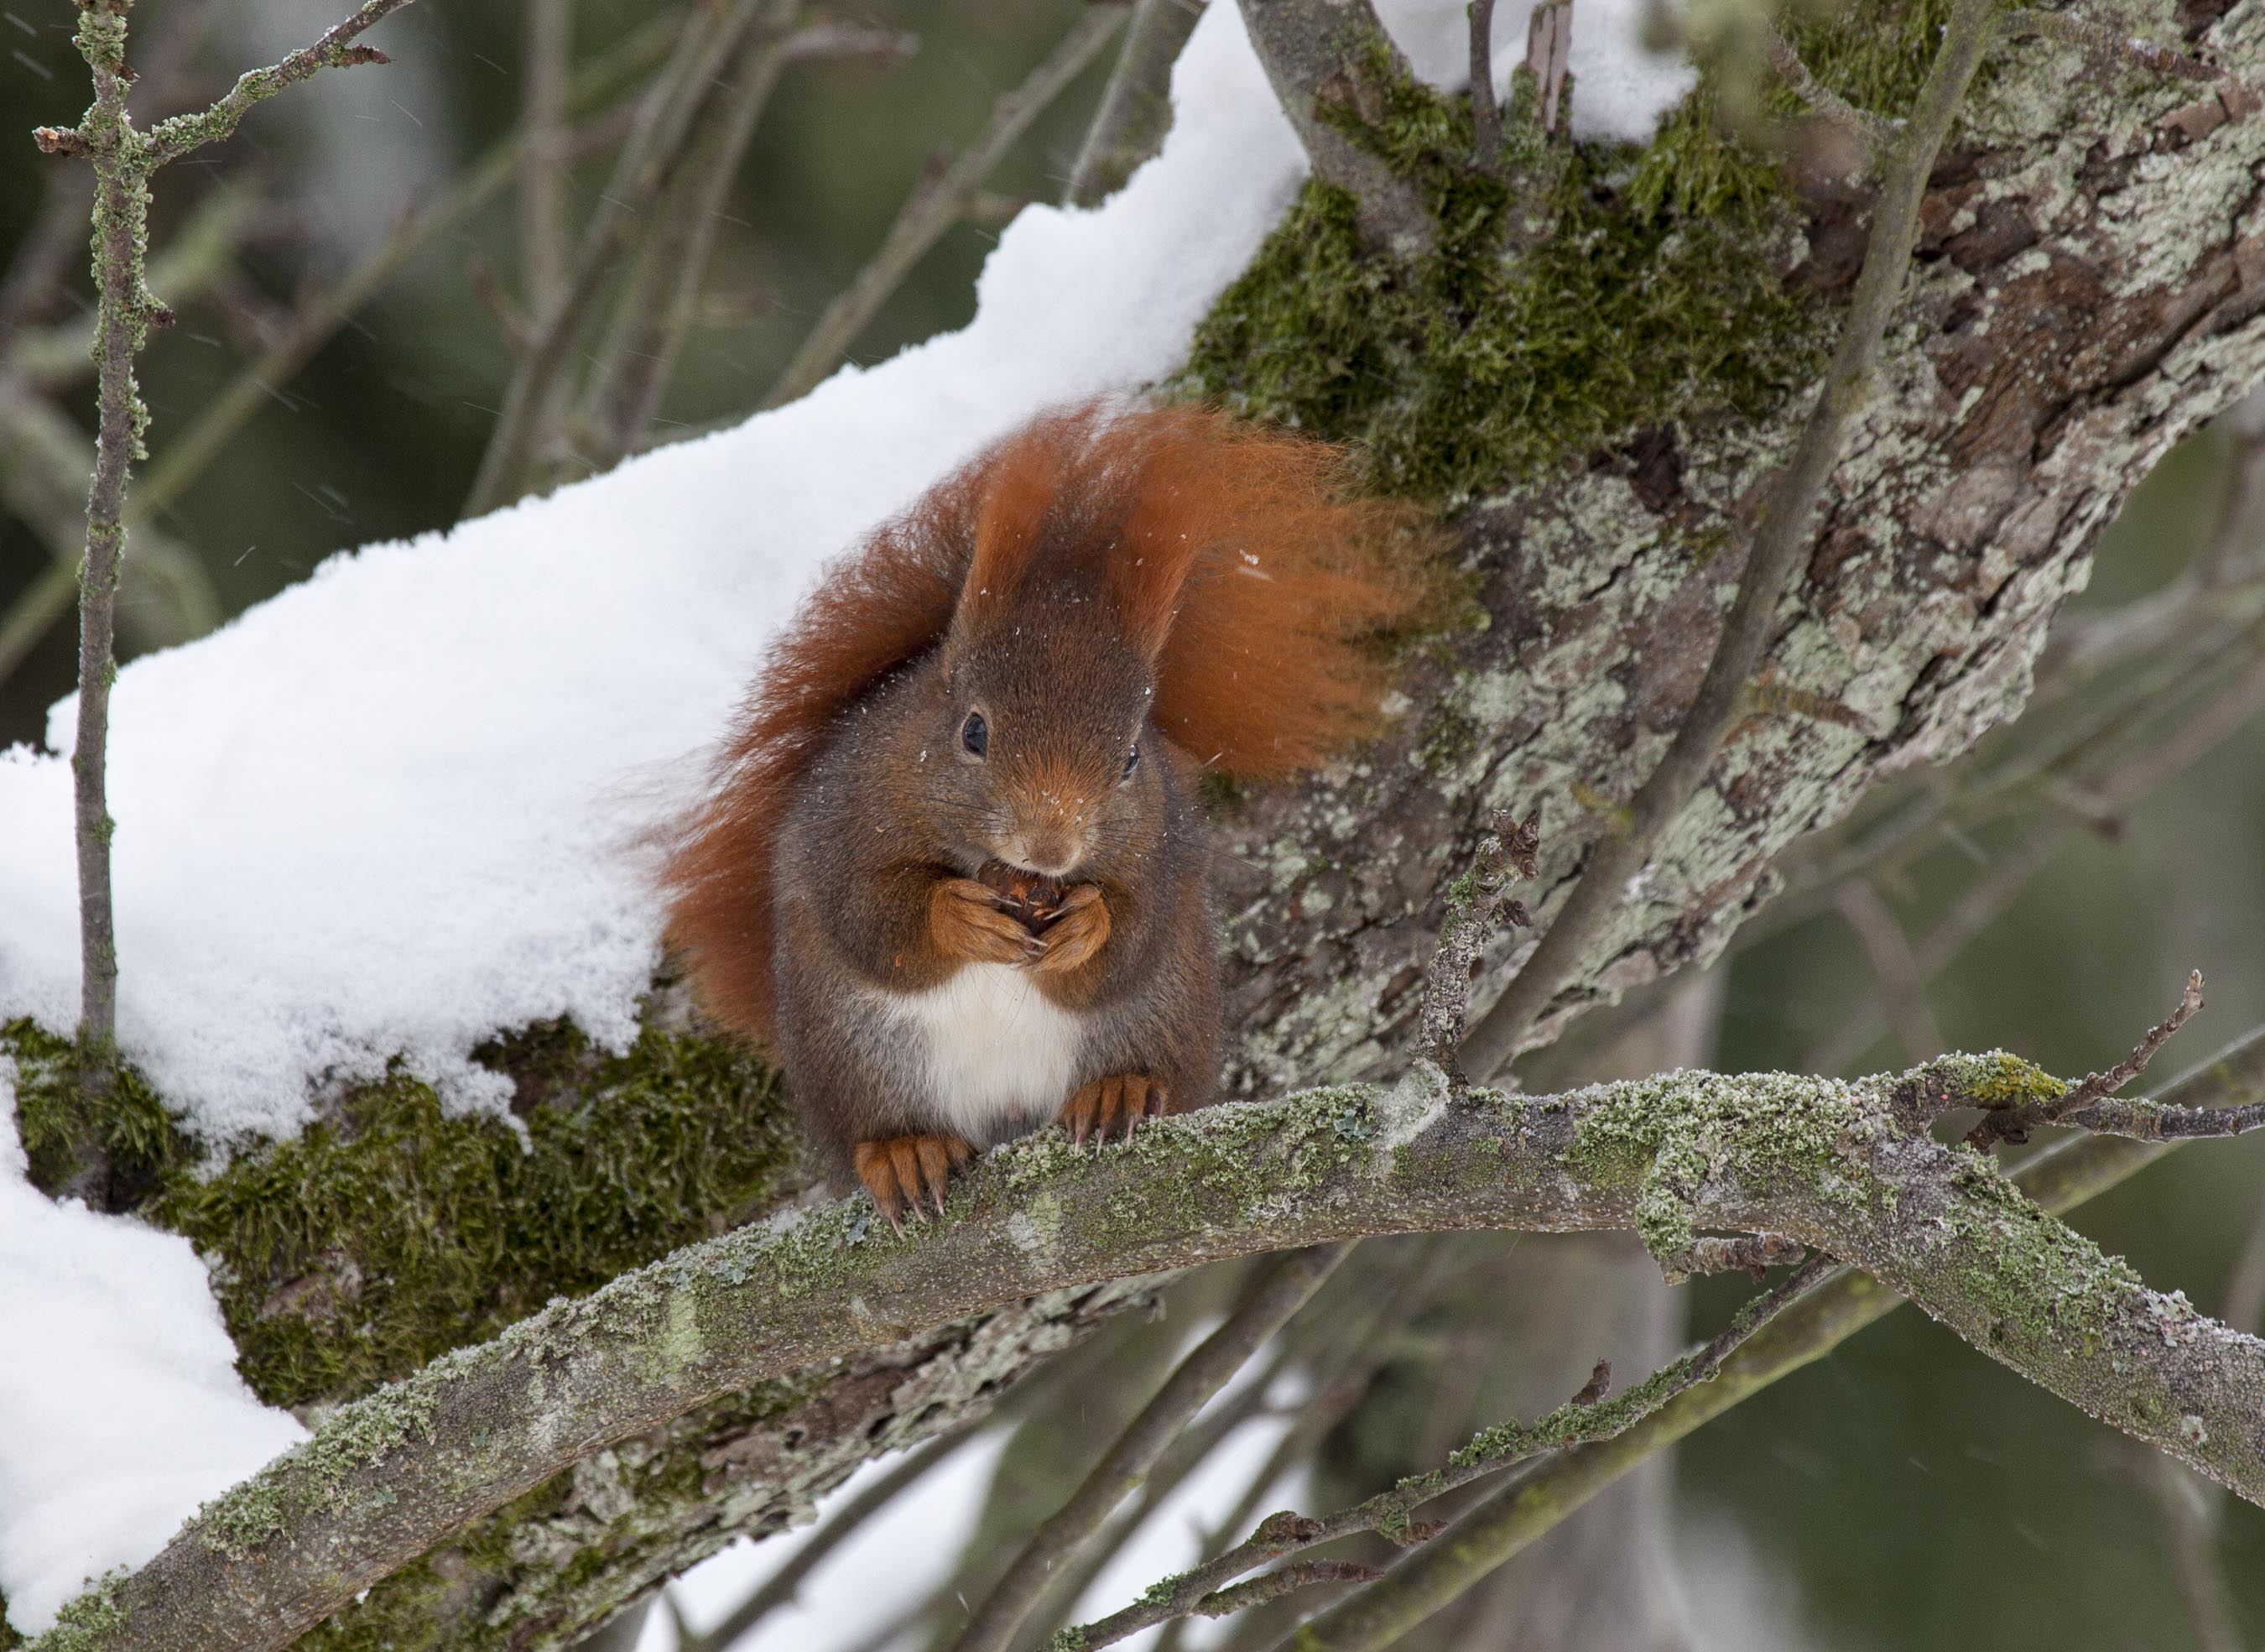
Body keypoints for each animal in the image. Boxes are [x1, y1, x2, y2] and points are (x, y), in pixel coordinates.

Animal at [661, 401, 1422, 1223]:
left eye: (1129, 759)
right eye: (973, 731)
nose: (1050, 848)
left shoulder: (1163, 855)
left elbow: (1131, 935)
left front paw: (1089, 923)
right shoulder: (842, 823)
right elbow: (871, 917)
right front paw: (954, 914)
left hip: (1163, 1011)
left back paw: (1119, 1088)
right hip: (853, 1051)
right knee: (873, 1118)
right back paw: (903, 1149)